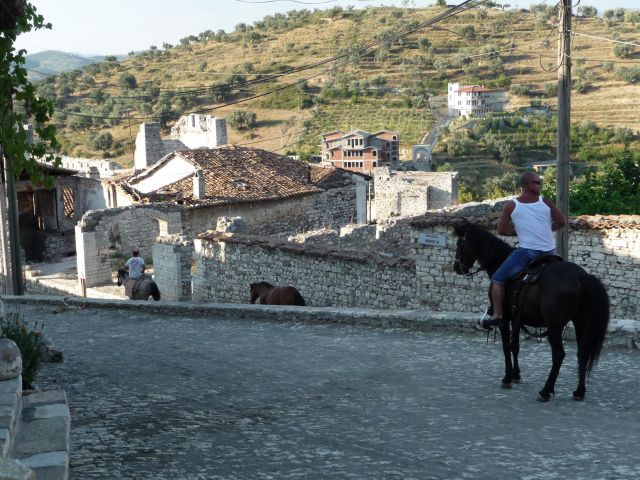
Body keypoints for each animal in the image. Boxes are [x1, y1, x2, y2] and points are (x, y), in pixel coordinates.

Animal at [450, 220, 608, 402]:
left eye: (459, 243)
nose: (457, 267)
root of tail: (582, 277)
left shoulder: (505, 319)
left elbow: (506, 346)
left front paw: (507, 378)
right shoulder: (517, 318)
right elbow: (515, 346)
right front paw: (516, 375)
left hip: (554, 327)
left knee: (559, 355)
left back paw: (546, 390)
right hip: (581, 323)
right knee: (582, 353)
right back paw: (579, 391)